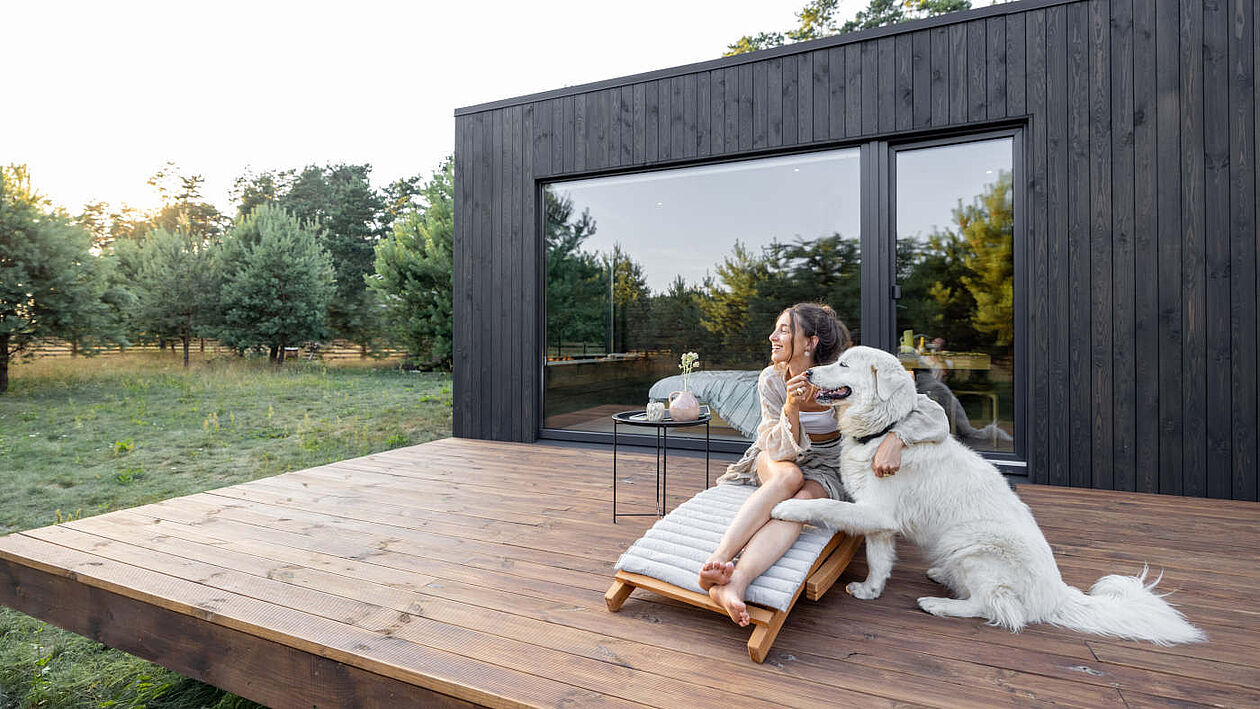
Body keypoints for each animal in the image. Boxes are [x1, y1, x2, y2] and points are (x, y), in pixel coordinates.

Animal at [771, 347, 1204, 644]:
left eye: (844, 365)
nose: (808, 371)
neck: (883, 431)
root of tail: (1056, 595)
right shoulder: (879, 520)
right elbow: (878, 560)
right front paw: (870, 591)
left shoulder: (876, 512)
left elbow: (825, 504)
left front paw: (788, 507)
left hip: (972, 545)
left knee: (996, 607)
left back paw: (939, 604)